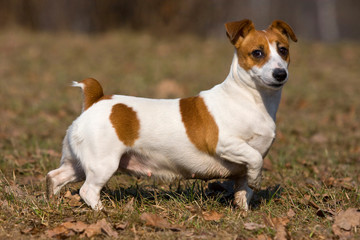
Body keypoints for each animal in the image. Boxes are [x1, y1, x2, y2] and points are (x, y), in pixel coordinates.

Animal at [46, 19, 296, 210]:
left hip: (78, 163)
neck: (252, 100)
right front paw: (257, 179)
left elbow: (245, 190)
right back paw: (101, 210)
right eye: (257, 53)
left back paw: (52, 201)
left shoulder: (242, 169)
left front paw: (243, 212)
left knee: (55, 176)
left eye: (283, 50)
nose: (280, 73)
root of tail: (96, 100)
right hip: (103, 164)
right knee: (88, 190)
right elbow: (254, 160)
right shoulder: (225, 144)